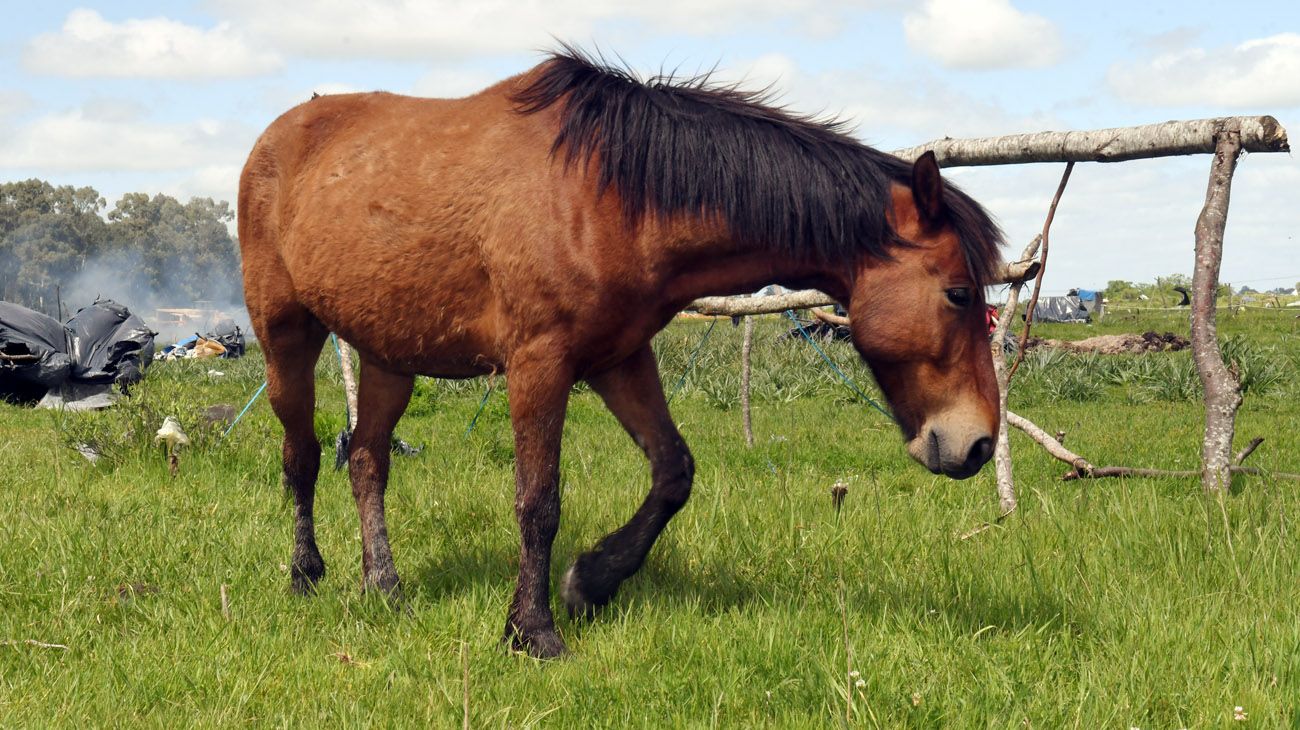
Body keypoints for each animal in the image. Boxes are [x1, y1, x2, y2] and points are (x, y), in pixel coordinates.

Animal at [236, 48, 1003, 657]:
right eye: (959, 293)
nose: (977, 446)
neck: (608, 194)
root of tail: (275, 138)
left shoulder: (619, 358)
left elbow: (673, 473)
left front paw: (591, 581)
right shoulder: (537, 365)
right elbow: (538, 501)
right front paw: (532, 631)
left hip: (390, 355)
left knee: (367, 460)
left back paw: (385, 585)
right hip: (286, 339)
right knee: (303, 456)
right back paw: (306, 574)